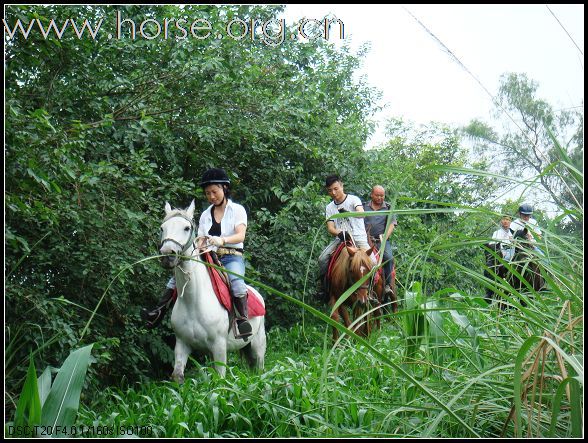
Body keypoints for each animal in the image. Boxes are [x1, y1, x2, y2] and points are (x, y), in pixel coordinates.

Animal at [157, 200, 266, 382]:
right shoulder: (182, 344)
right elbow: (178, 375)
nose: (167, 255)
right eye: (162, 228)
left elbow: (220, 380)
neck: (193, 301)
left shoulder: (219, 347)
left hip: (258, 346)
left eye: (186, 228)